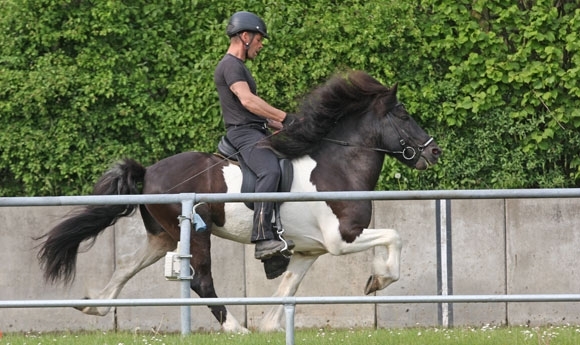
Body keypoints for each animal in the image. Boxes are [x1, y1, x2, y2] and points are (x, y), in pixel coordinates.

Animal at [37, 69, 440, 330]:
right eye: (404, 114)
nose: (433, 152)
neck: (337, 166)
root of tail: (149, 170)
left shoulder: (311, 250)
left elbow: (287, 288)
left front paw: (269, 326)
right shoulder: (341, 238)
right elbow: (394, 237)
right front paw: (379, 279)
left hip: (163, 236)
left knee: (125, 265)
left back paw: (95, 308)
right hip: (196, 233)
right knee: (201, 281)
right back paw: (234, 329)